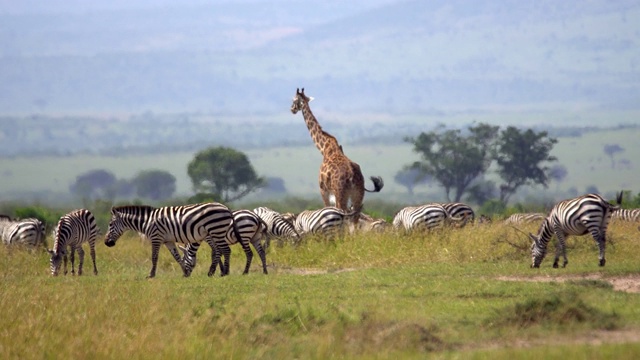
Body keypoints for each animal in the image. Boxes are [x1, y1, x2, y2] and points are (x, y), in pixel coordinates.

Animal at [105, 202, 240, 278]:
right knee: (220, 250)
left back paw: (224, 272)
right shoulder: (168, 241)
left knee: (225, 250)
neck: (147, 221)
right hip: (216, 232)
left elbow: (154, 257)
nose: (106, 243)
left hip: (216, 230)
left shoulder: (156, 237)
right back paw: (214, 272)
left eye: (110, 224)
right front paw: (185, 272)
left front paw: (151, 274)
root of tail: (226, 207)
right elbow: (177, 257)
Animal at [292, 88, 384, 222]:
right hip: (357, 195)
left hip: (341, 194)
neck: (324, 149)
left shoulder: (323, 190)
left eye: (294, 100)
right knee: (354, 219)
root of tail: (352, 177)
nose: (292, 109)